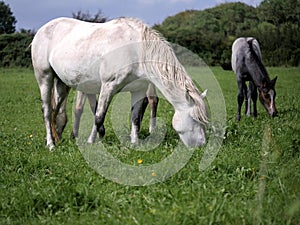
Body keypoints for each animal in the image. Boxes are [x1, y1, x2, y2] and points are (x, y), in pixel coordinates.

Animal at [31, 17, 209, 149]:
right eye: (195, 119)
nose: (201, 145)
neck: (136, 51)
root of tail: (41, 30)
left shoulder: (138, 90)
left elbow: (135, 117)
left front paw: (134, 143)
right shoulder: (108, 86)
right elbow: (99, 116)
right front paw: (91, 141)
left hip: (61, 83)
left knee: (57, 110)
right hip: (45, 77)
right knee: (47, 111)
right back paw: (51, 144)